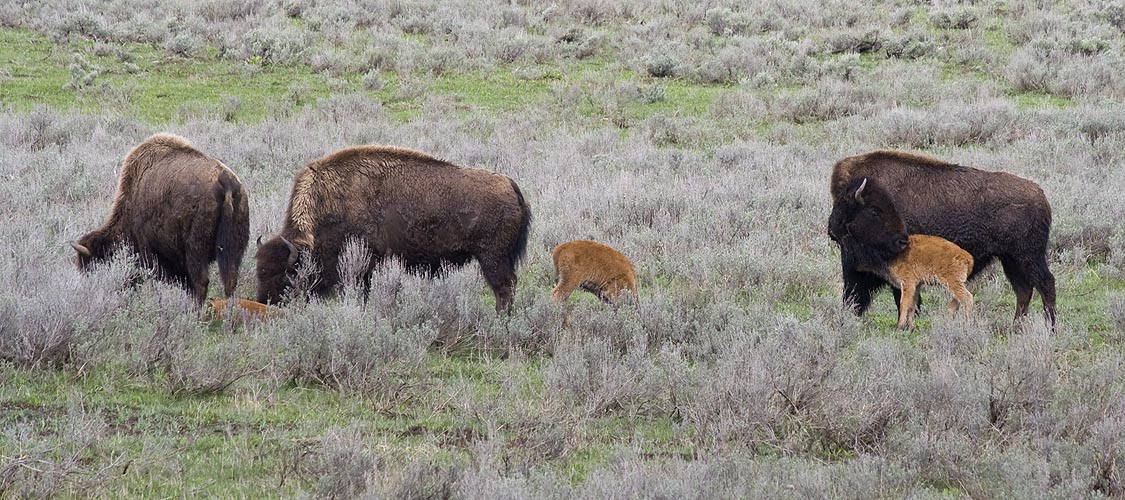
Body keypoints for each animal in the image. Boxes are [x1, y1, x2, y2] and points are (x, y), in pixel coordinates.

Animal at [73, 132, 253, 304]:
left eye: (92, 266)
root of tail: (225, 180)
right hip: (233, 248)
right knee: (229, 281)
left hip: (195, 250)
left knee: (201, 282)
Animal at [257, 142, 533, 313]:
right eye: (260, 271)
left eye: (285, 275)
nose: (263, 303)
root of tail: (510, 185)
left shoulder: (362, 265)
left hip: (492, 257)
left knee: (503, 287)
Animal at [828, 148, 1053, 326]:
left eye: (875, 211)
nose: (832, 229)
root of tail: (1042, 196)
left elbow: (903, 299)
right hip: (1011, 260)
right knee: (1023, 290)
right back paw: (1016, 328)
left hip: (1029, 256)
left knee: (1046, 284)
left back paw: (1050, 329)